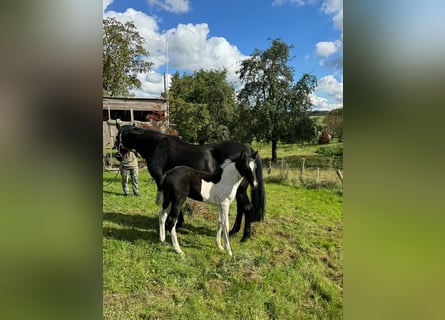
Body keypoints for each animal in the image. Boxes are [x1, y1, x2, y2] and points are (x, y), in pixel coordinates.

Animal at [114, 124, 266, 241]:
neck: (156, 146)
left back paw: (245, 237)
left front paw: (175, 224)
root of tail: (248, 150)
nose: (117, 156)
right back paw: (233, 231)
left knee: (247, 208)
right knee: (242, 209)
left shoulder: (162, 181)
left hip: (240, 190)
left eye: (117, 138)